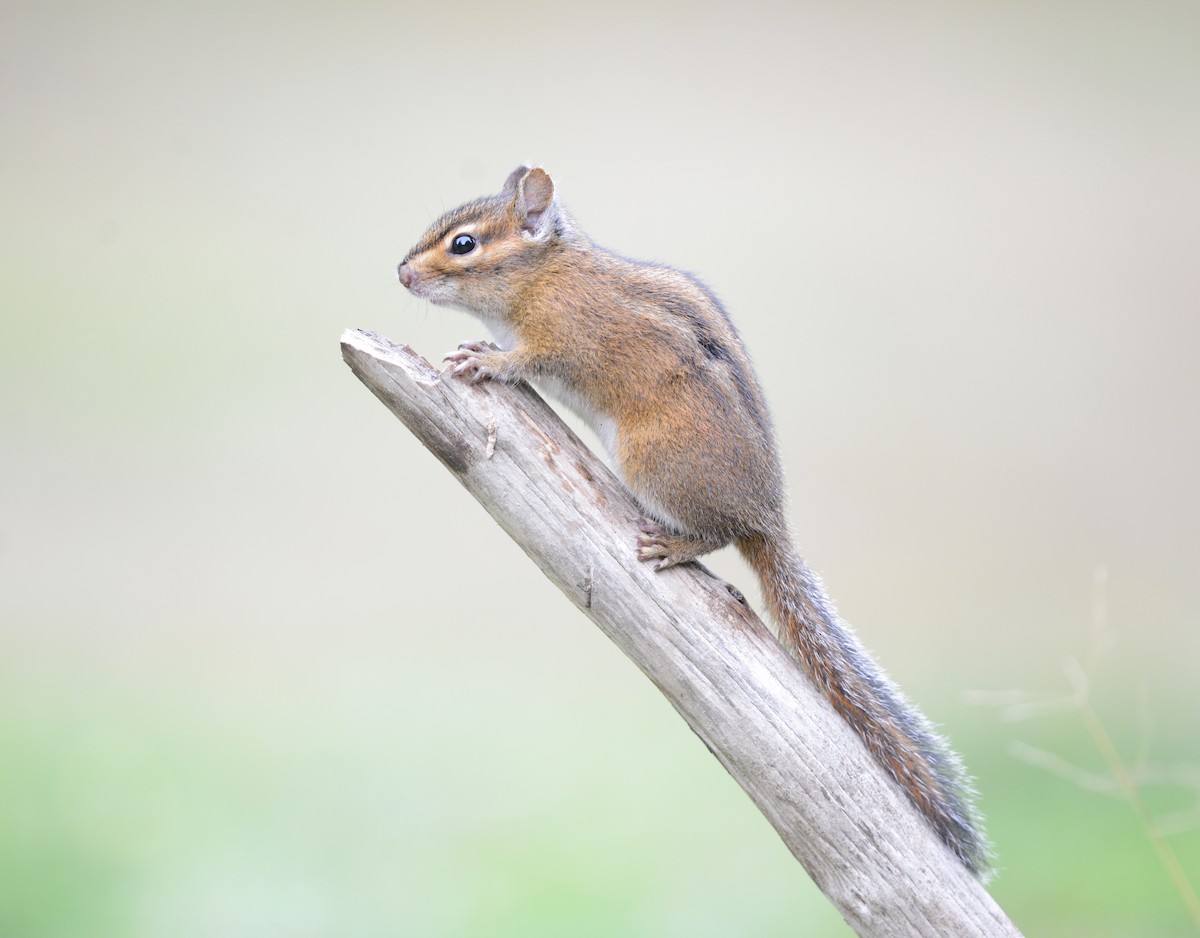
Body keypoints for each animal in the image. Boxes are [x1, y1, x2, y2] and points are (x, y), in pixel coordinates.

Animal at [397, 165, 991, 877]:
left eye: (463, 244)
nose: (400, 273)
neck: (549, 273)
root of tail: (768, 518)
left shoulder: (561, 339)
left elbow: (527, 361)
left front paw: (484, 360)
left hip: (651, 460)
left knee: (717, 536)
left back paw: (676, 547)